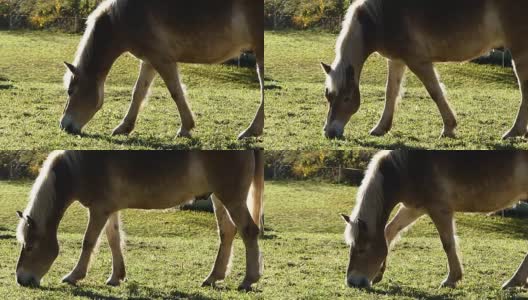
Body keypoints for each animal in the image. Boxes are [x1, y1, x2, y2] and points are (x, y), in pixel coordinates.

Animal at [15, 150, 262, 290]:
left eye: (30, 246)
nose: (21, 279)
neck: (80, 166)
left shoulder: (98, 210)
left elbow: (89, 242)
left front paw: (74, 276)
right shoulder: (108, 210)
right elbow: (114, 240)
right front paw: (116, 277)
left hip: (231, 198)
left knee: (248, 231)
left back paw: (248, 280)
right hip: (219, 198)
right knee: (227, 233)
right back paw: (213, 278)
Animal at [61, 0, 264, 140]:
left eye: (70, 91)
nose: (64, 126)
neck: (125, 17)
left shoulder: (162, 60)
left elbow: (176, 92)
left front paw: (185, 128)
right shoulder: (149, 61)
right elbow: (138, 93)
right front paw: (124, 127)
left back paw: (251, 130)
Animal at [320, 0, 528, 139]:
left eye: (347, 98)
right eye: (329, 96)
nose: (330, 132)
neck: (381, 17)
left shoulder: (418, 61)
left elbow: (435, 92)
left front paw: (449, 128)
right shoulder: (396, 61)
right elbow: (391, 93)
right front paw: (381, 128)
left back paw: (514, 132)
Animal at [340, 151, 528, 290]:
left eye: (362, 249)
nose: (352, 282)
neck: (406, 167)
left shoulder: (439, 209)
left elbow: (448, 243)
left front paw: (451, 279)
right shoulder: (414, 208)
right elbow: (389, 231)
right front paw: (379, 275)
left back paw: (514, 281)